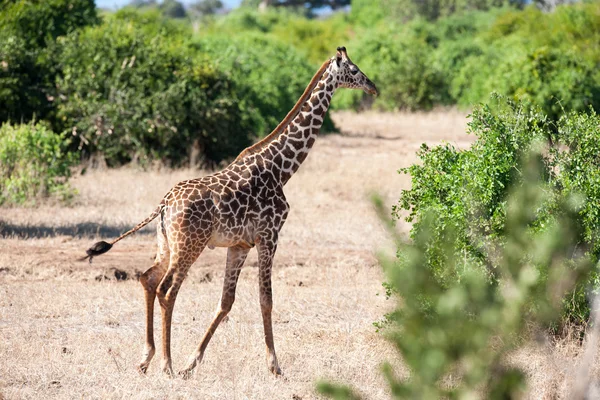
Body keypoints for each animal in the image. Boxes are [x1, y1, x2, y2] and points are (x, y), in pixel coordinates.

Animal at [82, 47, 378, 378]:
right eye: (354, 70)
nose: (373, 88)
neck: (281, 168)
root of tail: (164, 205)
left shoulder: (239, 245)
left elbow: (226, 301)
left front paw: (192, 363)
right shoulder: (269, 236)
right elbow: (266, 300)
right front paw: (274, 366)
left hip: (165, 243)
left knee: (147, 279)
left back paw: (147, 358)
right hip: (189, 245)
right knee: (167, 290)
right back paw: (166, 364)